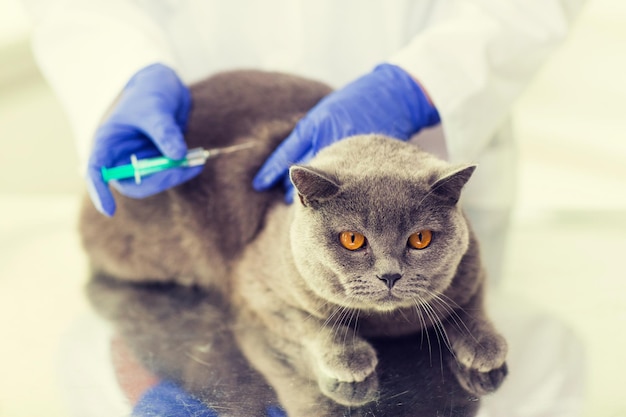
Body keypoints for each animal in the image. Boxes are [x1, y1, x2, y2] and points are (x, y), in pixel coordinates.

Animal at [80, 70, 504, 414]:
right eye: (353, 239)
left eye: (420, 239)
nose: (390, 275)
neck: (386, 323)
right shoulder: (256, 288)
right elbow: (311, 322)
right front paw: (350, 356)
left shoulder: (474, 268)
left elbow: (473, 306)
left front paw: (486, 345)